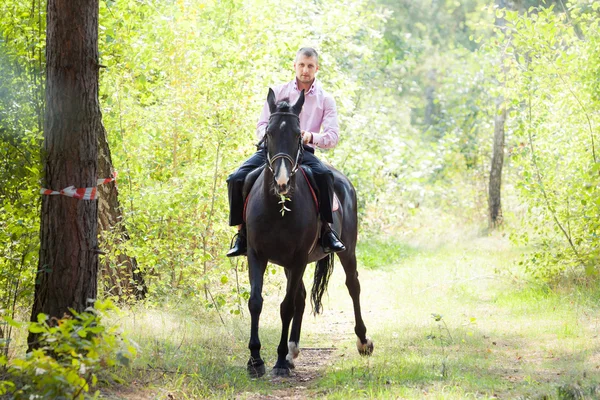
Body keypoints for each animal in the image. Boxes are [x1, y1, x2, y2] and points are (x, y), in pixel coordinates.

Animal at [244, 88, 376, 378]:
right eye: (269, 133)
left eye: (298, 134)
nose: (282, 182)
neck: (278, 208)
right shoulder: (256, 255)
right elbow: (256, 302)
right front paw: (255, 360)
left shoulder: (298, 259)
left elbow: (286, 307)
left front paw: (279, 362)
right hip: (288, 263)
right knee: (303, 297)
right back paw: (292, 350)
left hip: (346, 251)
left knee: (353, 286)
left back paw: (362, 341)